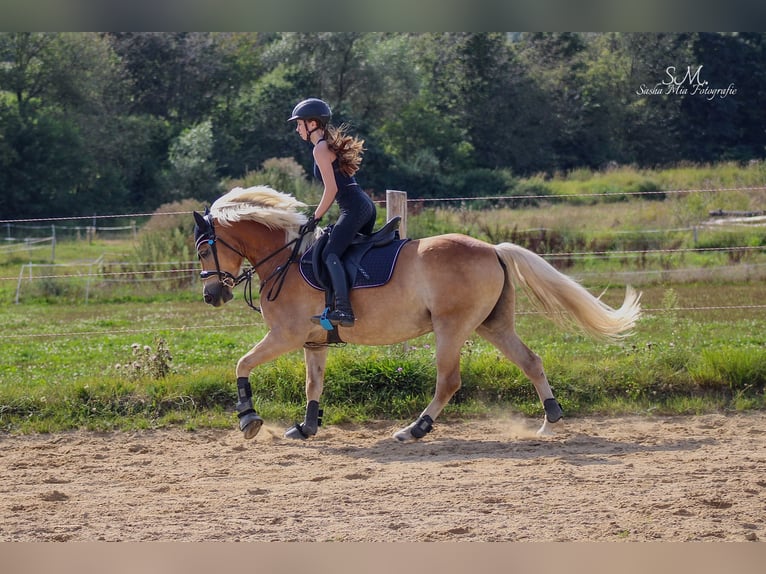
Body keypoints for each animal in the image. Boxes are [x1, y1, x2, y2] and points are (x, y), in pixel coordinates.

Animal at [193, 185, 641, 442]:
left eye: (201, 250)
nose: (212, 295)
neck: (284, 259)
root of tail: (493, 249)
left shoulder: (284, 336)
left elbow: (242, 364)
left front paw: (249, 420)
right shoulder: (313, 341)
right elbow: (312, 384)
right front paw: (306, 427)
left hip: (451, 328)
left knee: (449, 381)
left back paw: (414, 430)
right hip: (491, 325)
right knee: (531, 361)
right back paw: (550, 420)